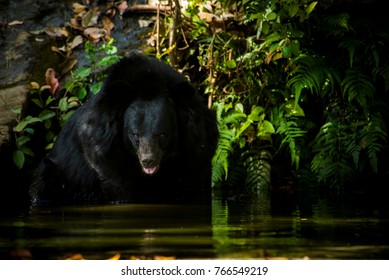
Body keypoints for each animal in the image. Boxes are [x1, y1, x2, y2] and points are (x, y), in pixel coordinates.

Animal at [30, 52, 218, 205]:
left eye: (163, 134)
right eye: (136, 135)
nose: (148, 160)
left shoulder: (196, 148)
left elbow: (194, 180)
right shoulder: (104, 148)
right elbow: (118, 184)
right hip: (57, 172)